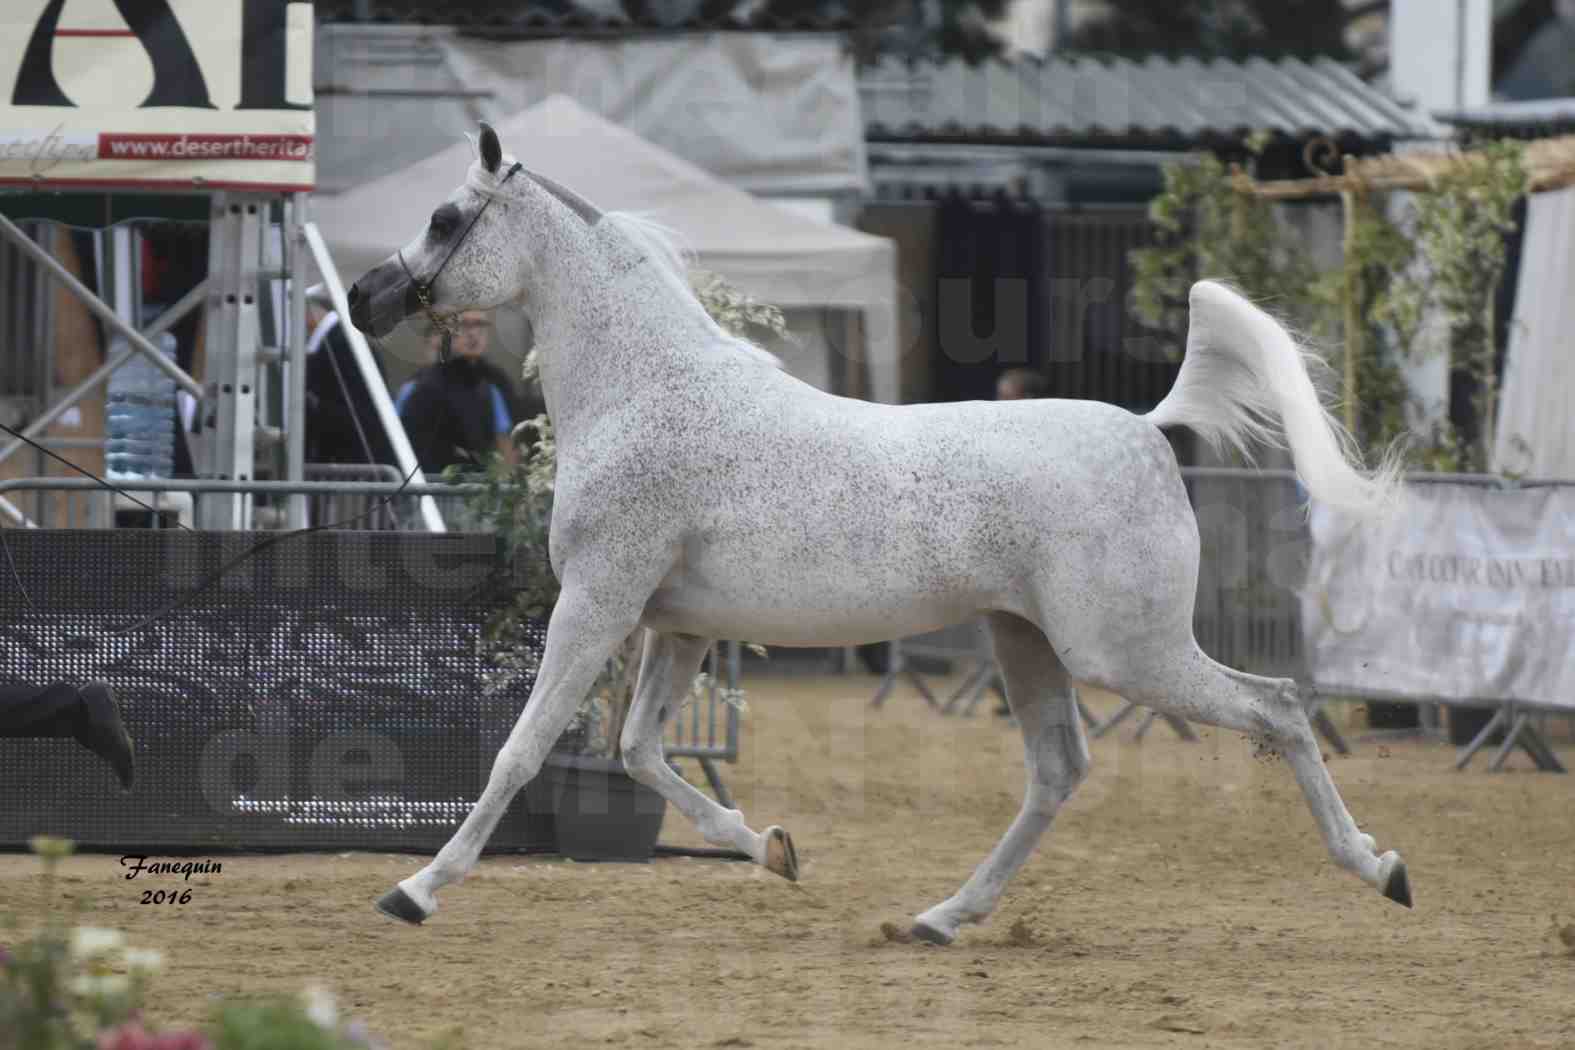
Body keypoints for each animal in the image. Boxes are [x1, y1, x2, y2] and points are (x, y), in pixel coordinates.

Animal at [351, 123, 1411, 944]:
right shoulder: (675, 624)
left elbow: (523, 751)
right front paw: (773, 850)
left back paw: (1379, 868)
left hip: (1122, 653)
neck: (647, 391)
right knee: (1058, 772)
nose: (365, 298)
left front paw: (414, 890)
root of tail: (1149, 429)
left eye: (444, 219)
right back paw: (940, 918)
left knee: (1276, 707)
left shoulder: (598, 601)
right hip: (1026, 643)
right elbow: (640, 753)